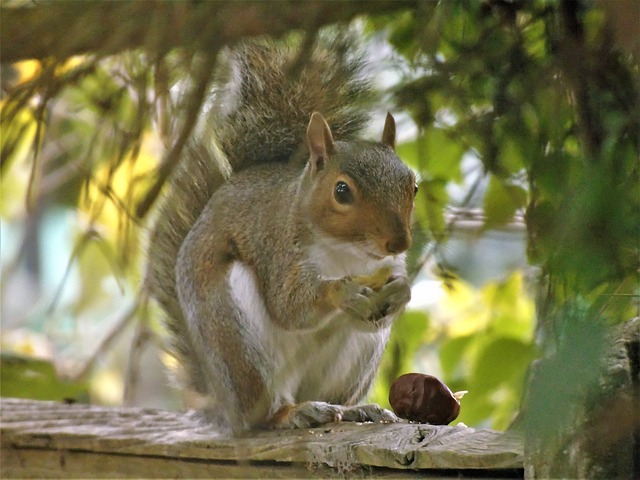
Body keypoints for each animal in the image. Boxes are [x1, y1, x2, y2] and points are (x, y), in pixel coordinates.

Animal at [146, 34, 418, 436]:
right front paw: (341, 292)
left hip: (355, 361)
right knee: (263, 413)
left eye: (413, 186)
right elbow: (289, 305)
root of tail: (225, 404)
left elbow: (386, 304)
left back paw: (352, 410)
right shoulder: (276, 246)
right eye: (342, 192)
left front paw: (402, 291)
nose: (398, 242)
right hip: (238, 345)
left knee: (333, 395)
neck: (348, 253)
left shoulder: (387, 268)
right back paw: (290, 413)